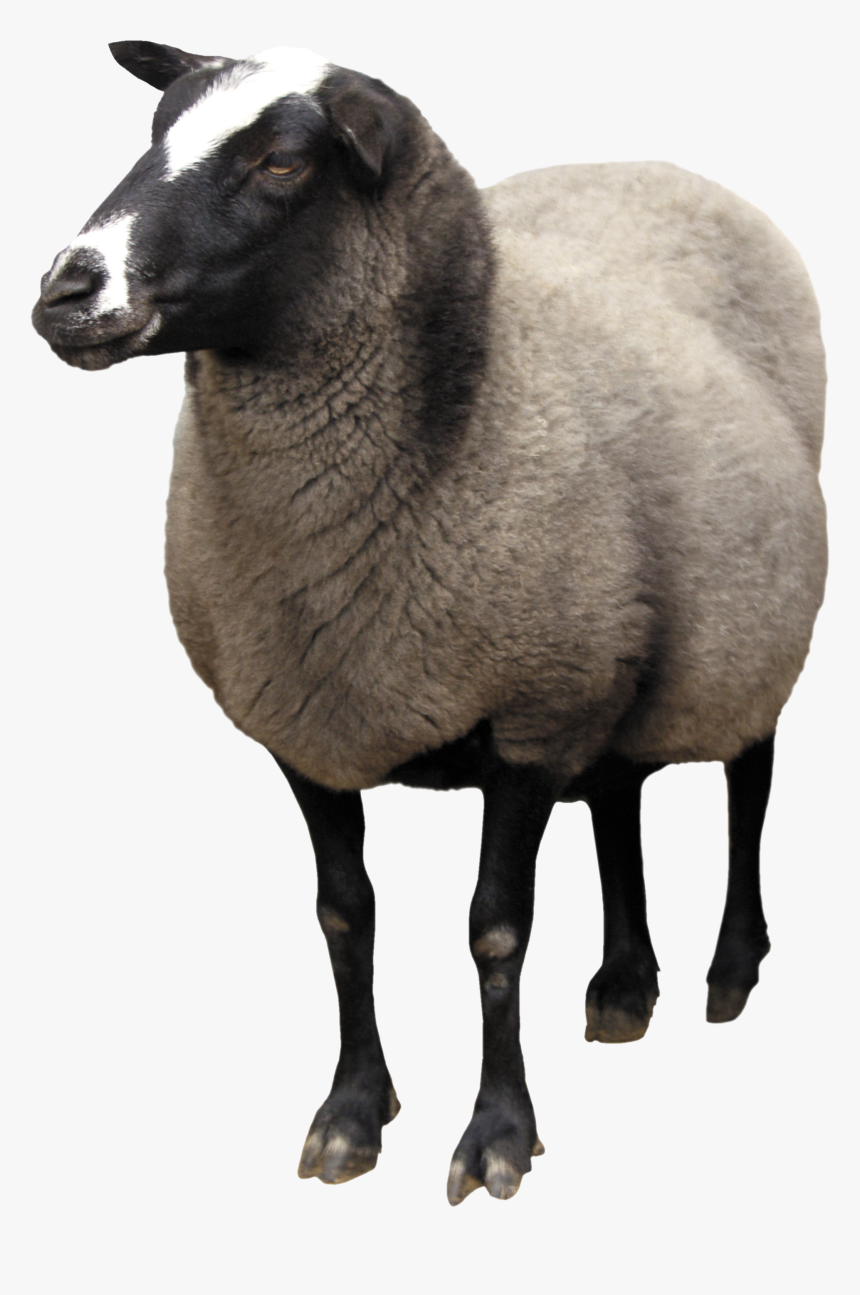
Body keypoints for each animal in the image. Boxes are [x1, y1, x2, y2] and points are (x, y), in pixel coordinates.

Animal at [32, 40, 827, 1206]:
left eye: (282, 160)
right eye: (155, 133)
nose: (65, 290)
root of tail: (655, 165)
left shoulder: (529, 718)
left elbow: (495, 931)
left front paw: (497, 1134)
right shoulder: (309, 724)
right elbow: (344, 915)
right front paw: (351, 1114)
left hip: (735, 623)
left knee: (748, 778)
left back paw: (729, 968)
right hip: (614, 642)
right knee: (621, 793)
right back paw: (623, 986)